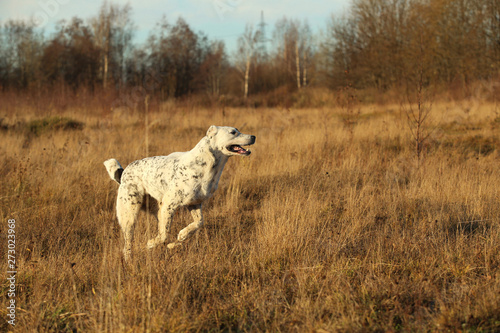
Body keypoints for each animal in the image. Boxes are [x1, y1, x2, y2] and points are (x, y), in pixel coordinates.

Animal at [104, 124, 256, 260]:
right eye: (233, 132)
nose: (253, 136)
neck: (207, 164)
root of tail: (124, 172)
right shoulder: (170, 205)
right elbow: (164, 235)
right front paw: (151, 243)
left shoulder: (194, 203)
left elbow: (198, 222)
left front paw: (183, 235)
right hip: (130, 215)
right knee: (129, 242)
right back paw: (129, 259)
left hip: (158, 210)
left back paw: (172, 245)